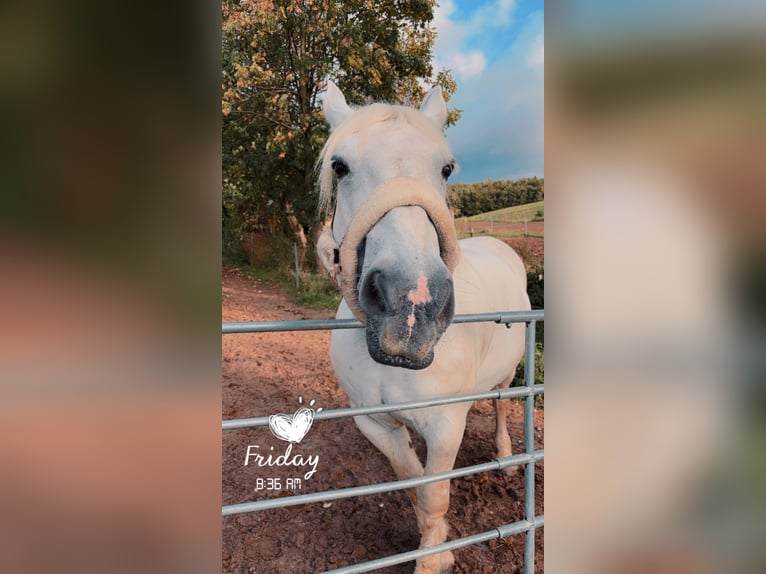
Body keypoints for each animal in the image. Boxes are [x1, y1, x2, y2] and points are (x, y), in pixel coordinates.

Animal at [315, 81, 530, 574]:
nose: (411, 305)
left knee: (501, 409)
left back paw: (507, 458)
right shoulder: (374, 422)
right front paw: (434, 537)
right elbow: (412, 480)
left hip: (508, 378)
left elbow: (435, 493)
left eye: (447, 168)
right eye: (340, 166)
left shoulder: (446, 424)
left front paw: (435, 557)